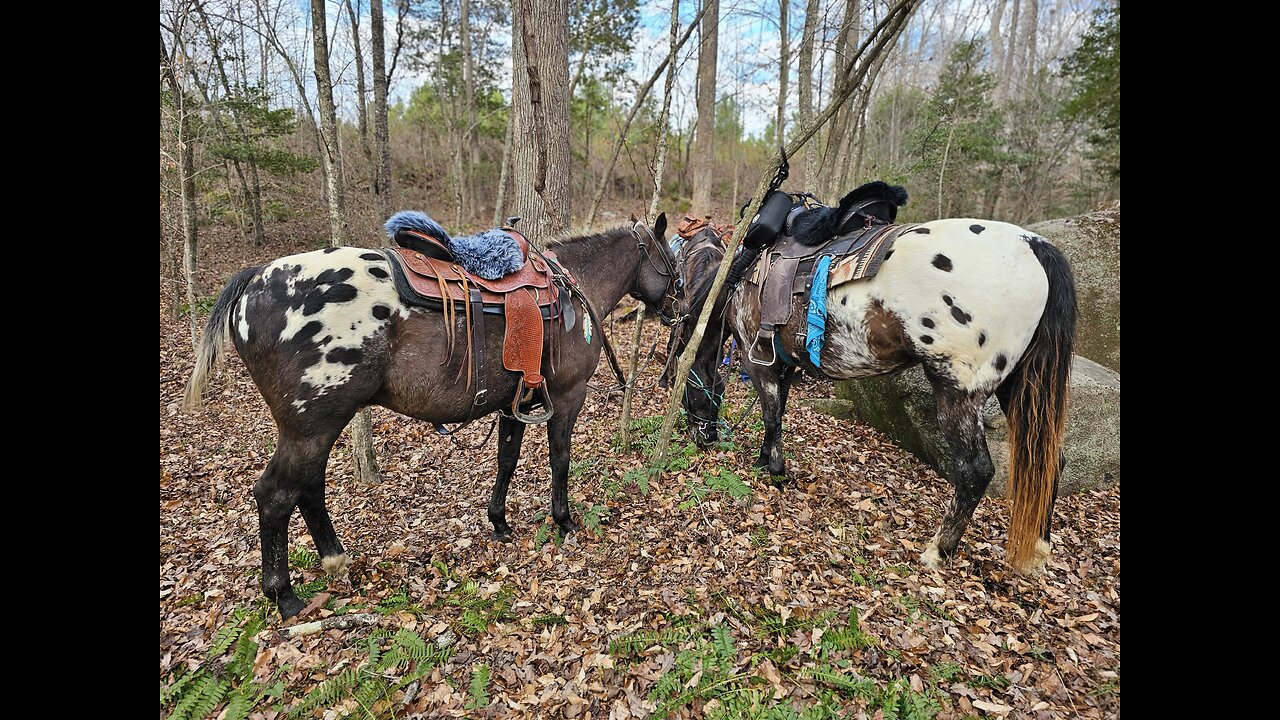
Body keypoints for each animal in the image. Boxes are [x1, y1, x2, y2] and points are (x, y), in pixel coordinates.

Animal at [185, 212, 680, 617]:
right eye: (671, 263)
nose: (679, 309)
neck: (572, 288)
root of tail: (253, 281)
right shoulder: (566, 398)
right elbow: (560, 461)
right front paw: (563, 521)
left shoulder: (516, 405)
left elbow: (507, 460)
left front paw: (499, 523)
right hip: (310, 426)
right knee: (276, 495)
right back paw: (284, 595)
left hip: (317, 428)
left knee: (308, 488)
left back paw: (334, 558)